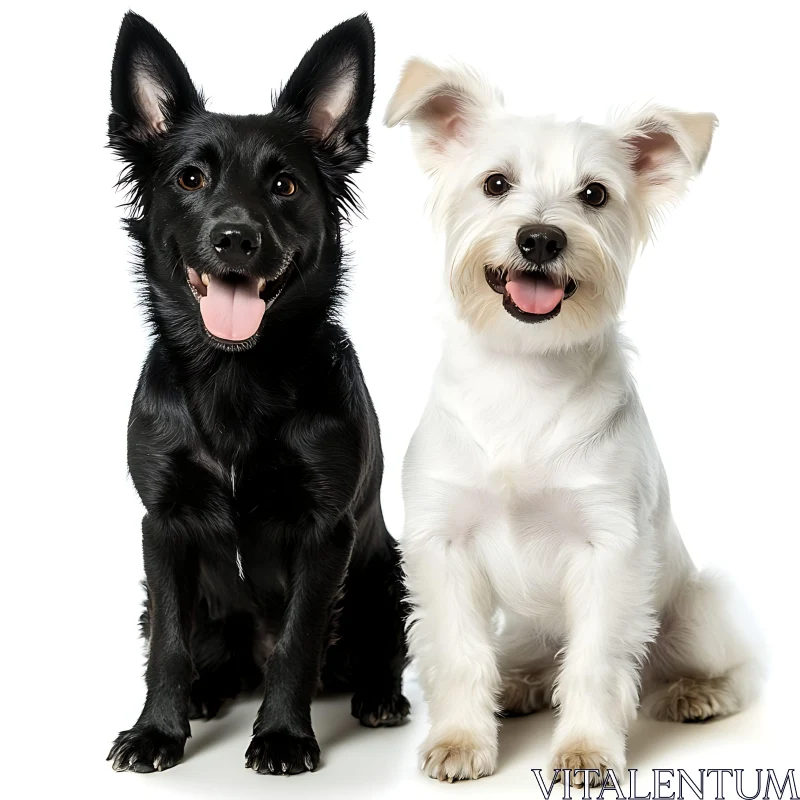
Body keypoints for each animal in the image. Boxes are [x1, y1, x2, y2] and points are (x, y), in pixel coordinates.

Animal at [105, 10, 410, 776]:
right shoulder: (163, 525)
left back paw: (379, 696)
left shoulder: (325, 531)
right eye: (190, 177)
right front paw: (157, 730)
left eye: (286, 187)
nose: (234, 238)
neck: (235, 376)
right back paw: (205, 692)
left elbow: (298, 643)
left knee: (375, 650)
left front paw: (282, 736)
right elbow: (169, 646)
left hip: (384, 573)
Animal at [386, 59, 764, 784]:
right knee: (528, 657)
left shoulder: (608, 551)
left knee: (725, 665)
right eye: (495, 183)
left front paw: (586, 750)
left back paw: (697, 692)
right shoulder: (443, 545)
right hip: (526, 628)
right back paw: (521, 684)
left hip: (695, 613)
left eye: (594, 194)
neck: (524, 376)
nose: (540, 238)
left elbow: (596, 662)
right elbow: (459, 652)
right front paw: (461, 739)